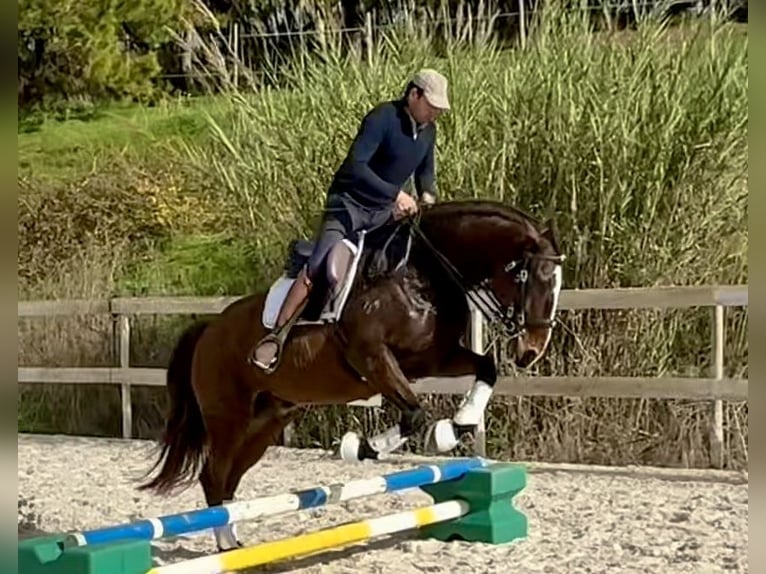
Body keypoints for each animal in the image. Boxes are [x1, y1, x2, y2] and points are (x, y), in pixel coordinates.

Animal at [141, 199, 568, 552]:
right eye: (532, 278)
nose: (531, 351)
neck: (423, 277)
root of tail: (208, 330)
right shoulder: (374, 359)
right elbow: (414, 415)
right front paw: (361, 446)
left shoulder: (432, 360)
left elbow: (486, 369)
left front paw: (456, 426)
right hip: (228, 418)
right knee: (213, 477)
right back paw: (227, 546)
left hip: (266, 422)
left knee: (229, 480)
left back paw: (233, 540)